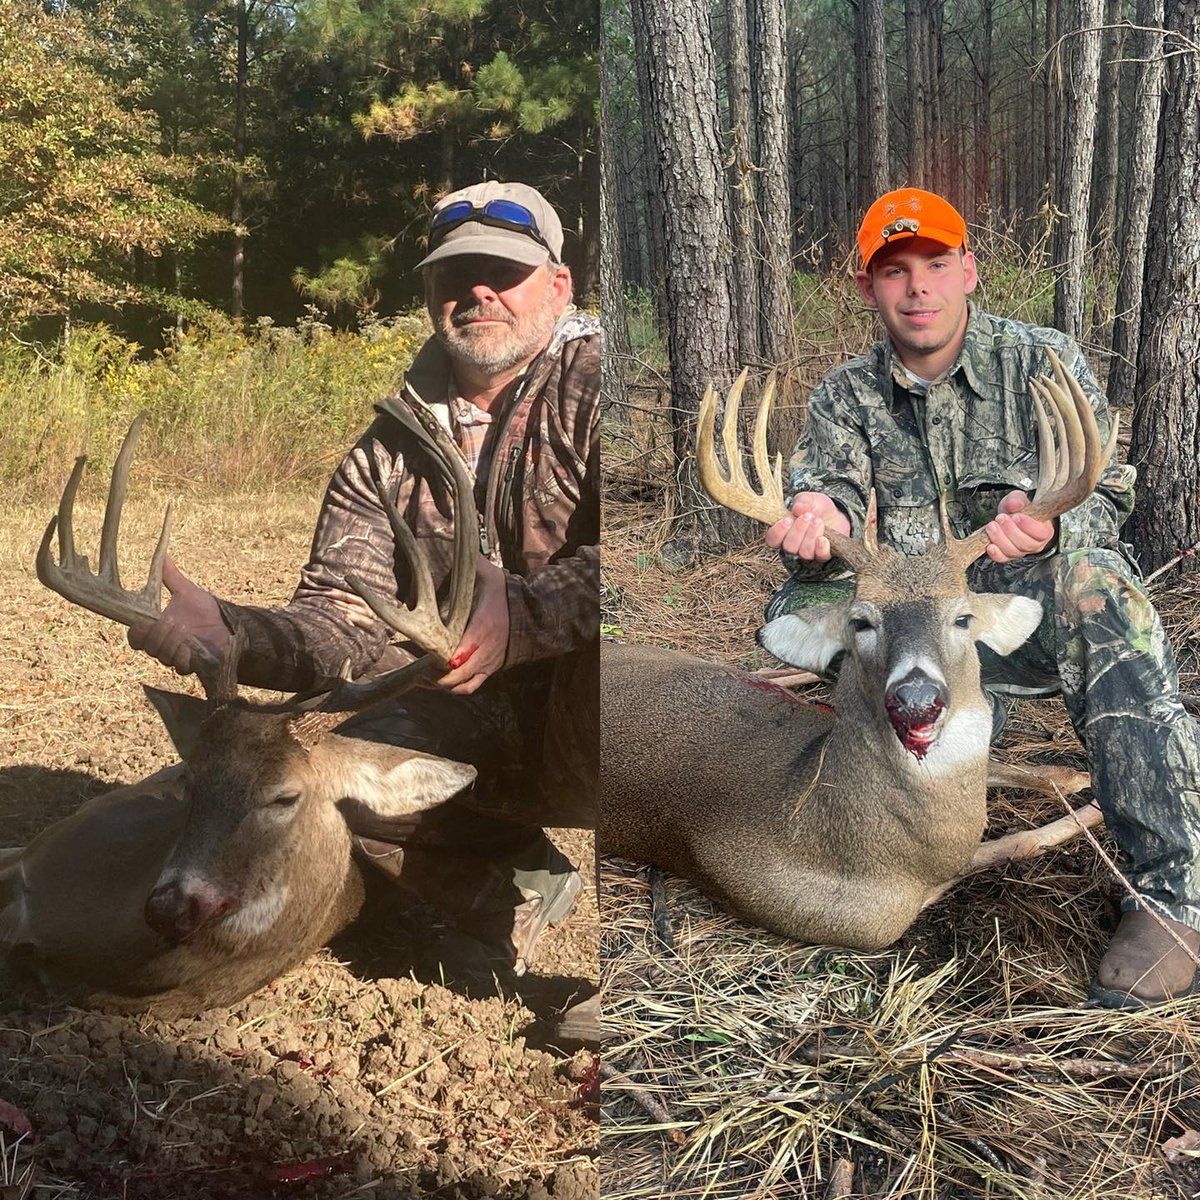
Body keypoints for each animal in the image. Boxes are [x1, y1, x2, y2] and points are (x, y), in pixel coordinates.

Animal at [600, 349, 1111, 951]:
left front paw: (1079, 779)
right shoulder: (874, 919)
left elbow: (1020, 774)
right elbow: (1017, 841)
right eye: (860, 621)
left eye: (962, 617)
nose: (917, 698)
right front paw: (1094, 804)